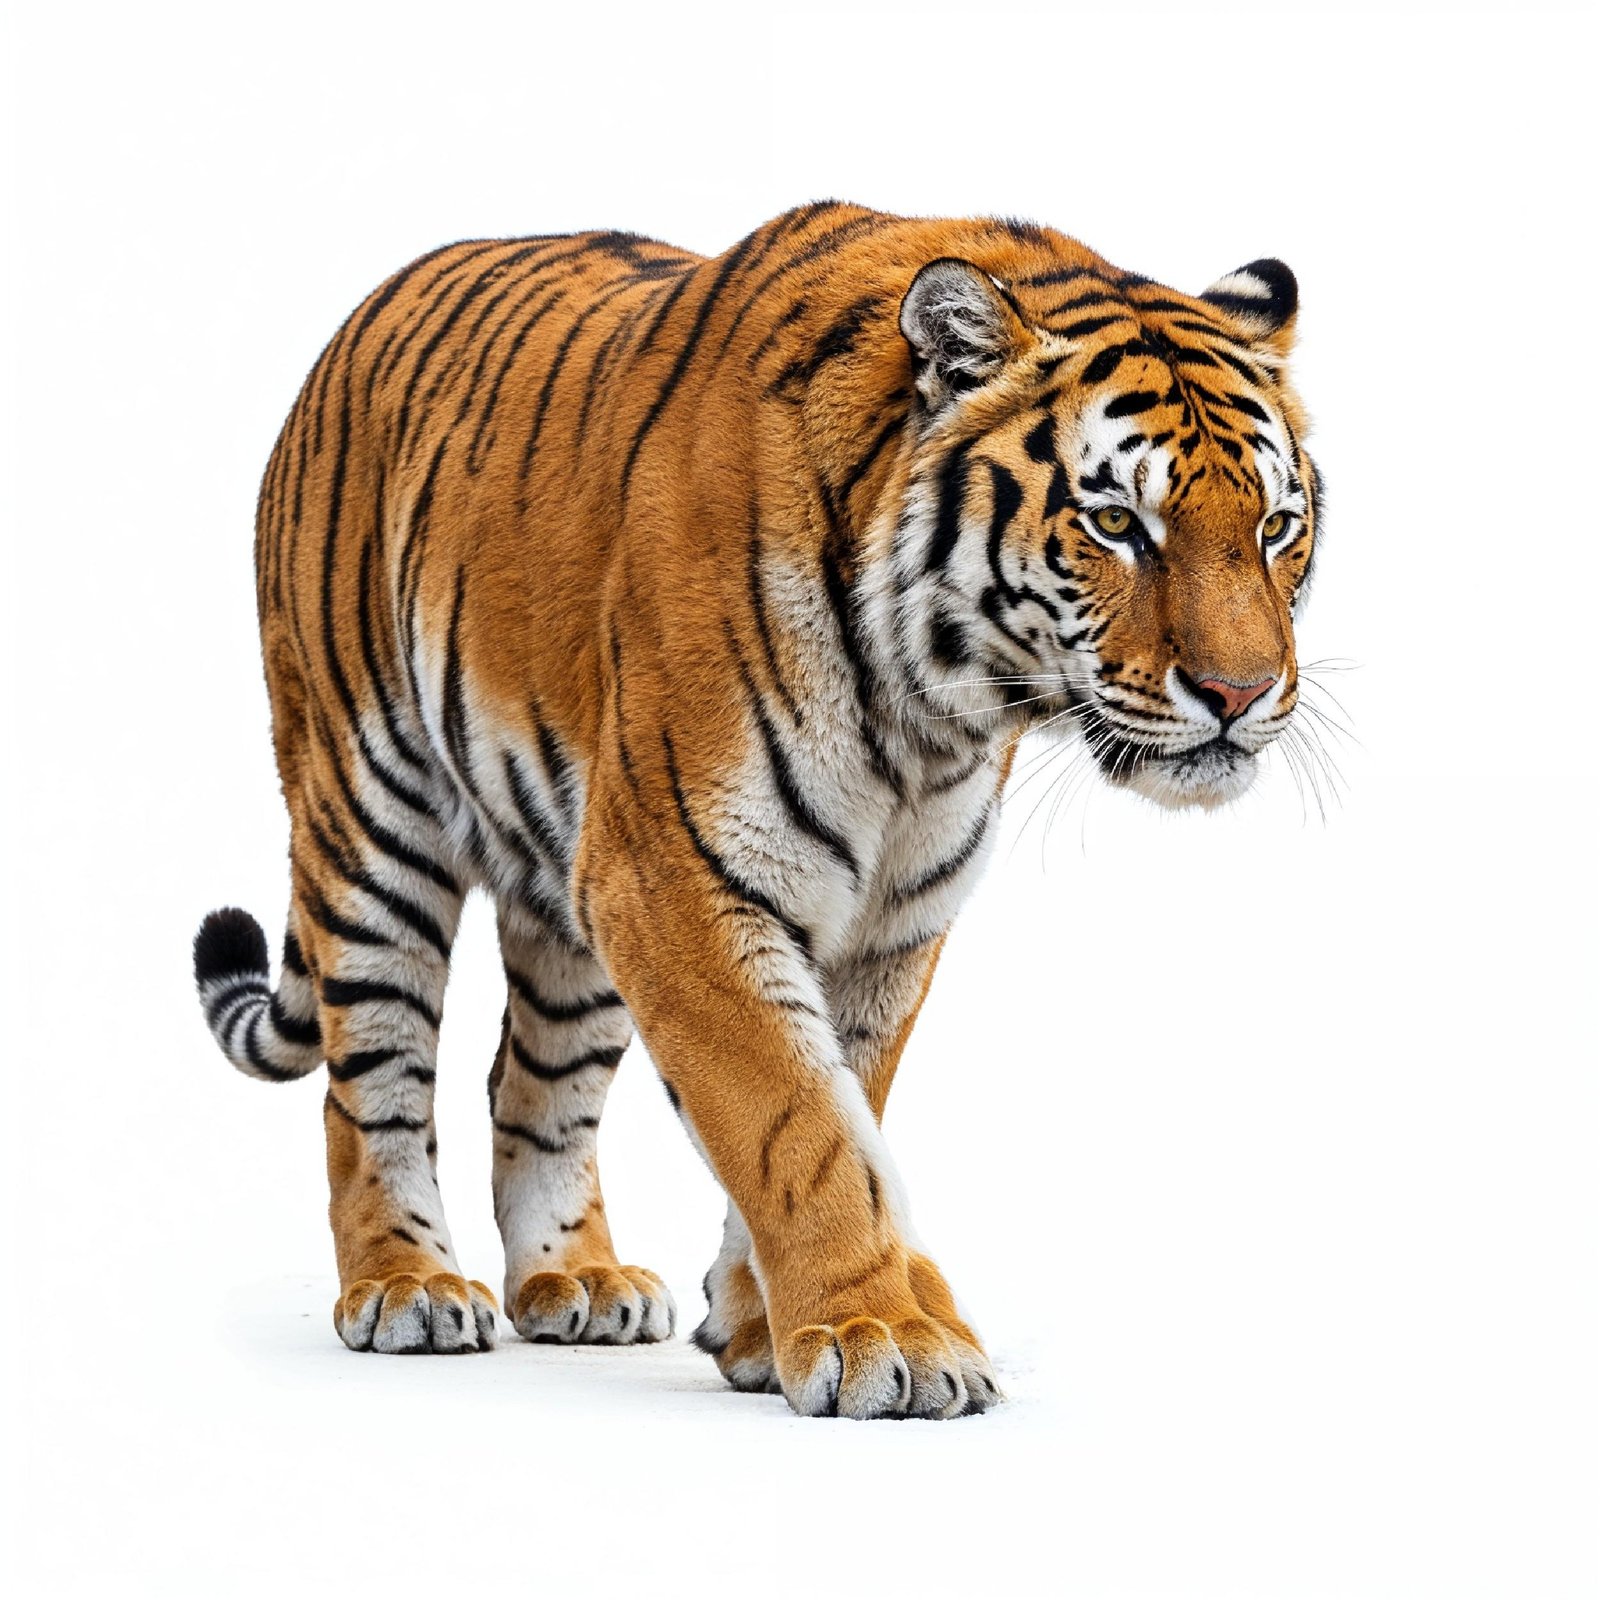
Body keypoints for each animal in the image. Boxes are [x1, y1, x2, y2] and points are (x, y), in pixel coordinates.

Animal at [193, 201, 1320, 1420]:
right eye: (1115, 522)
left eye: (1274, 526)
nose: (1241, 694)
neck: (933, 713)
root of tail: (366, 311)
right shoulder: (676, 876)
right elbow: (797, 1120)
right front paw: (880, 1335)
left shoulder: (884, 917)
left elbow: (842, 1104)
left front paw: (759, 1328)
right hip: (370, 818)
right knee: (372, 1085)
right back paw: (407, 1288)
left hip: (571, 887)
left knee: (531, 1082)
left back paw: (574, 1280)